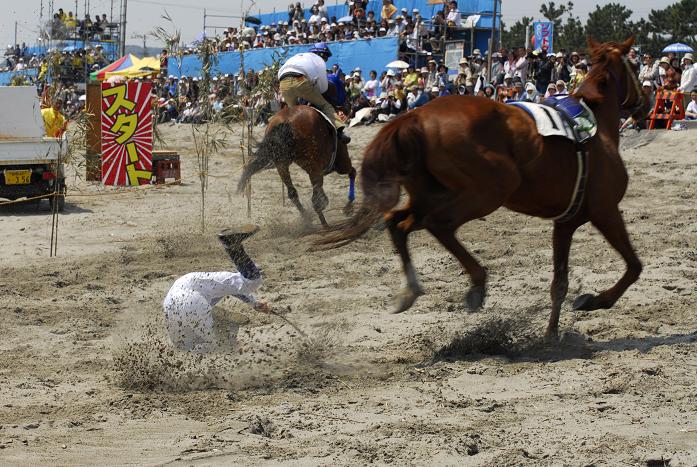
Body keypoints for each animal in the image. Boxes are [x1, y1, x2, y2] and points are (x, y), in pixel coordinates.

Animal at [316, 38, 648, 342]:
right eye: (633, 64)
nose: (644, 99)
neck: (597, 130)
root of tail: (415, 116)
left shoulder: (565, 223)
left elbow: (560, 283)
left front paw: (551, 334)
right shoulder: (605, 211)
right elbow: (634, 266)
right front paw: (594, 301)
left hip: (432, 194)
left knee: (398, 222)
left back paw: (410, 290)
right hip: (489, 191)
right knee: (436, 224)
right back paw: (476, 284)